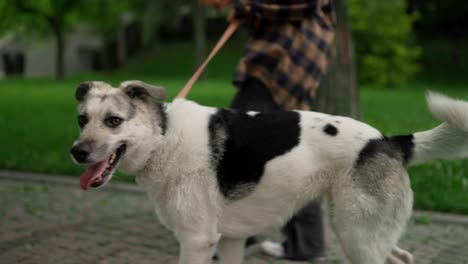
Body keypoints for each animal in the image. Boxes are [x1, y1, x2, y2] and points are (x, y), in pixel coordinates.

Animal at [70, 81, 468, 264]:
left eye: (114, 121)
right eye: (81, 120)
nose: (76, 152)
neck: (163, 137)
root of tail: (388, 140)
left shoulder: (197, 241)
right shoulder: (228, 240)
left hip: (357, 235)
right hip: (366, 232)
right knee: (403, 257)